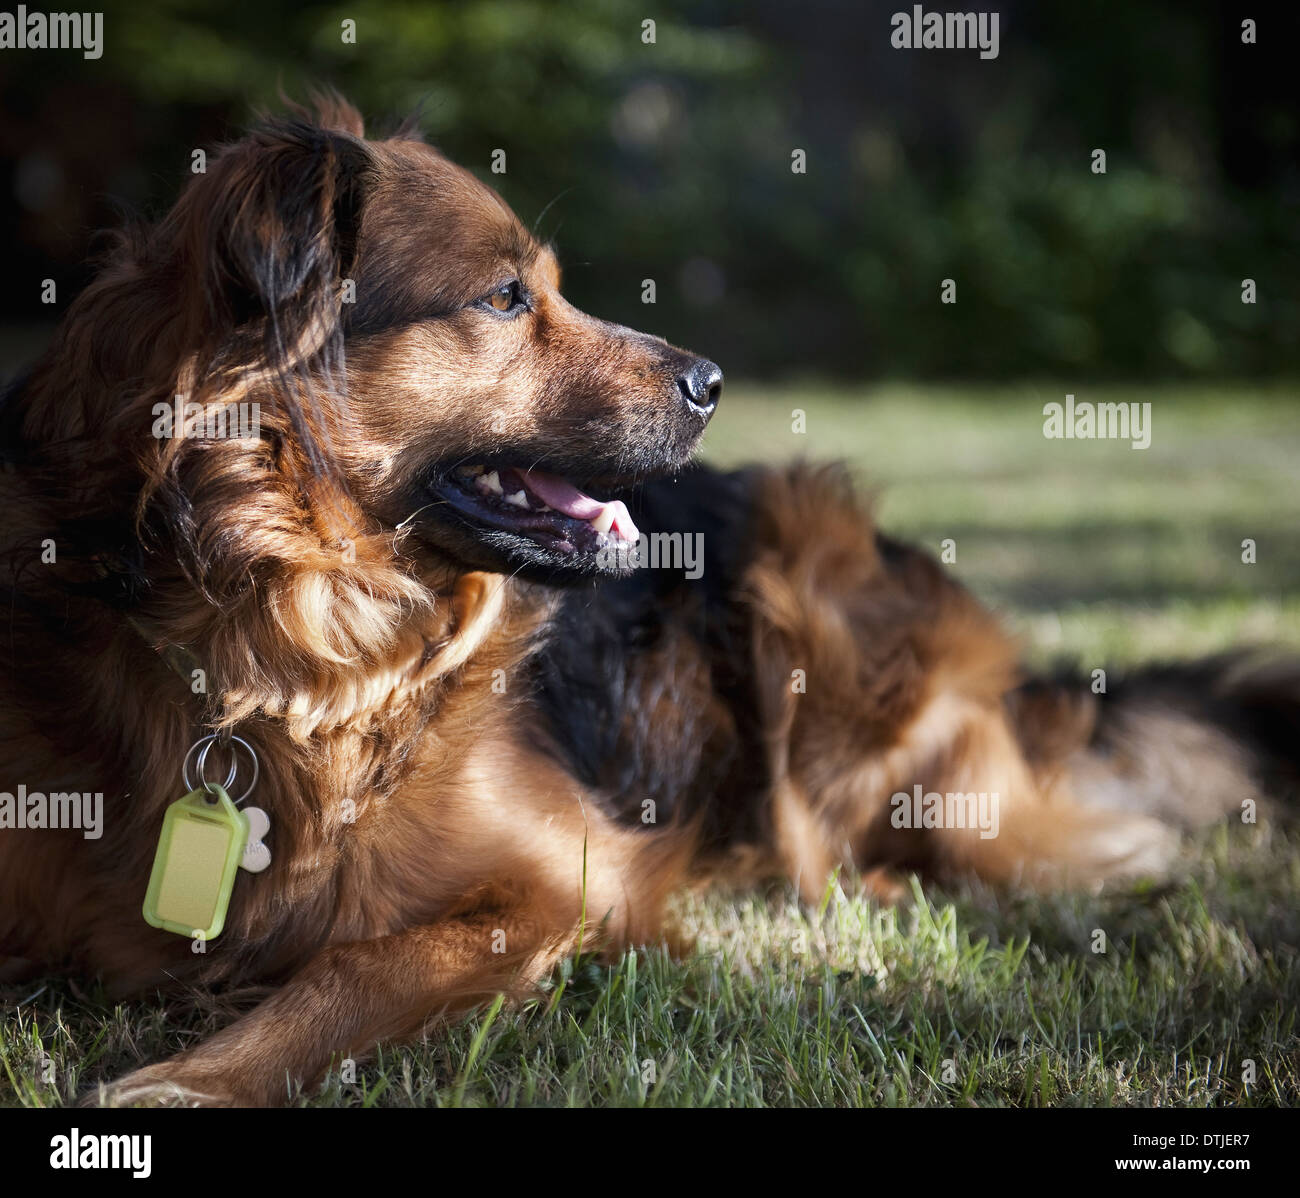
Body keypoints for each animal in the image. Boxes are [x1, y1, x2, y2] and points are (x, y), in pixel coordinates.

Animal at [2, 98, 1300, 1107]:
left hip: (804, 578)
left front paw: (196, 1076)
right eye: (506, 298)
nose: (713, 379)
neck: (294, 643)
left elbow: (358, 967)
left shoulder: (564, 874)